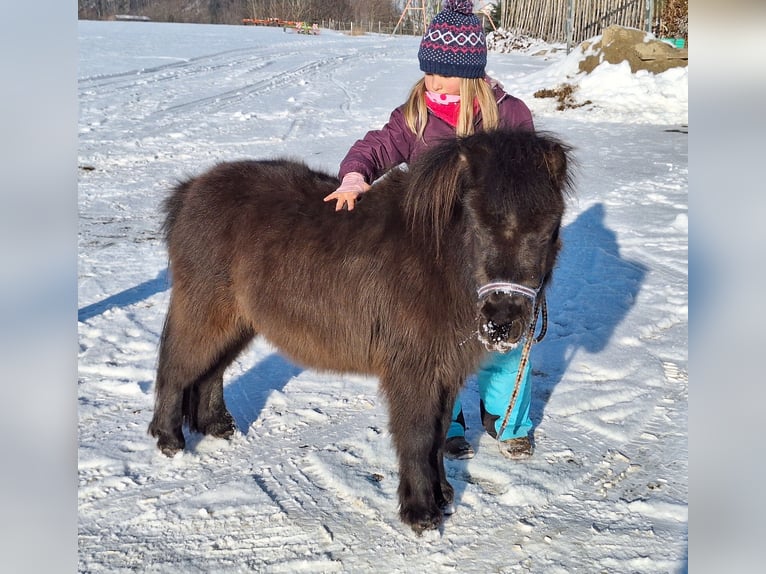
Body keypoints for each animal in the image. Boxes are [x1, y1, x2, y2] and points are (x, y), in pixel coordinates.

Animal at [148, 129, 573, 533]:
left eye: (545, 229)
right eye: (478, 223)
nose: (501, 322)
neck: (439, 260)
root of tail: (190, 190)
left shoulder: (445, 372)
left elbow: (438, 436)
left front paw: (443, 496)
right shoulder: (413, 372)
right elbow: (418, 436)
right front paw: (421, 513)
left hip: (239, 324)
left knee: (211, 372)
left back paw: (218, 427)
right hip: (205, 314)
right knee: (176, 367)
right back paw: (169, 440)